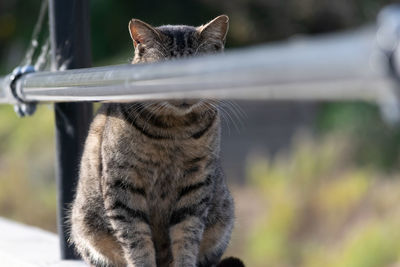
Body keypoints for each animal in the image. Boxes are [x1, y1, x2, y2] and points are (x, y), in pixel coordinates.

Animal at [69, 15, 242, 267]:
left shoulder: (195, 185)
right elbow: (137, 240)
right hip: (86, 226)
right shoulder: (123, 185)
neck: (173, 131)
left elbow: (187, 237)